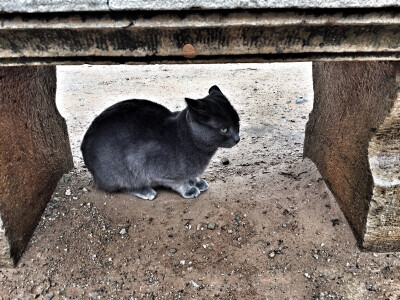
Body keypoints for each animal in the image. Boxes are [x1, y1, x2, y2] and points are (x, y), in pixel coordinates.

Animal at [79, 85, 239, 200]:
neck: (187, 137)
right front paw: (189, 189)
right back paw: (146, 191)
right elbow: (179, 183)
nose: (237, 138)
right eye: (224, 129)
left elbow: (191, 176)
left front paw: (197, 181)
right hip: (121, 172)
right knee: (125, 185)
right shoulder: (153, 168)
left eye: (237, 123)